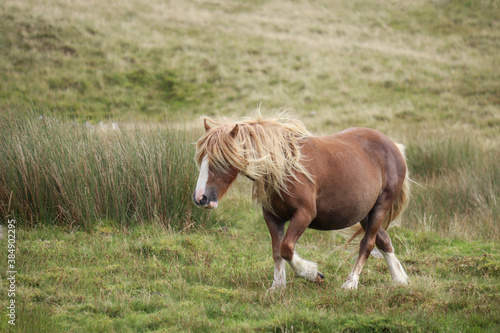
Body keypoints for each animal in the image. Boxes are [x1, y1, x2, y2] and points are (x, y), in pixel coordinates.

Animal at [192, 113, 410, 290]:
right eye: (202, 158)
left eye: (221, 161)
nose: (200, 198)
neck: (284, 168)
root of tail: (393, 146)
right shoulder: (272, 217)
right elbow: (277, 251)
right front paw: (277, 286)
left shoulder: (304, 214)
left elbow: (286, 248)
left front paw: (312, 274)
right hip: (364, 213)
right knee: (383, 240)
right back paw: (400, 279)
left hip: (380, 207)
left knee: (368, 243)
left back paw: (350, 283)